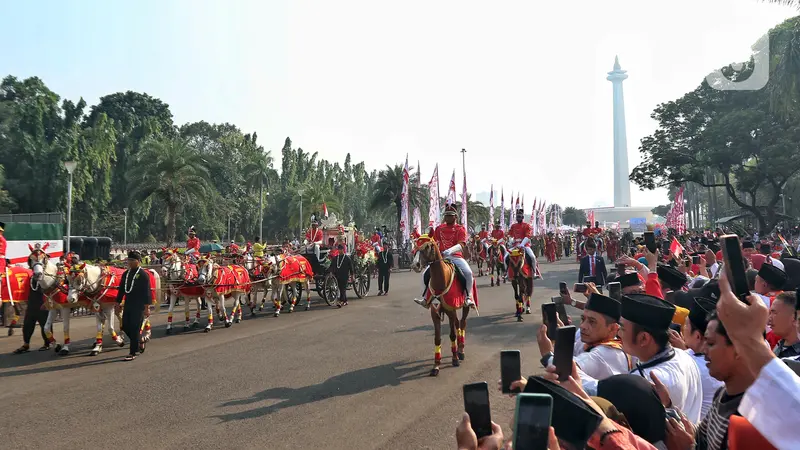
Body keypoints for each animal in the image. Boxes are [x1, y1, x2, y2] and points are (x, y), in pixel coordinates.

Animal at [410, 236, 472, 376]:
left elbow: (452, 335)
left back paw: (461, 350)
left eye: (426, 248)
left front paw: (455, 359)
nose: (415, 265)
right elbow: (437, 338)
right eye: (415, 248)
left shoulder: (451, 310)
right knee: (458, 323)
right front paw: (436, 365)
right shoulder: (435, 313)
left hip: (464, 307)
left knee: (462, 323)